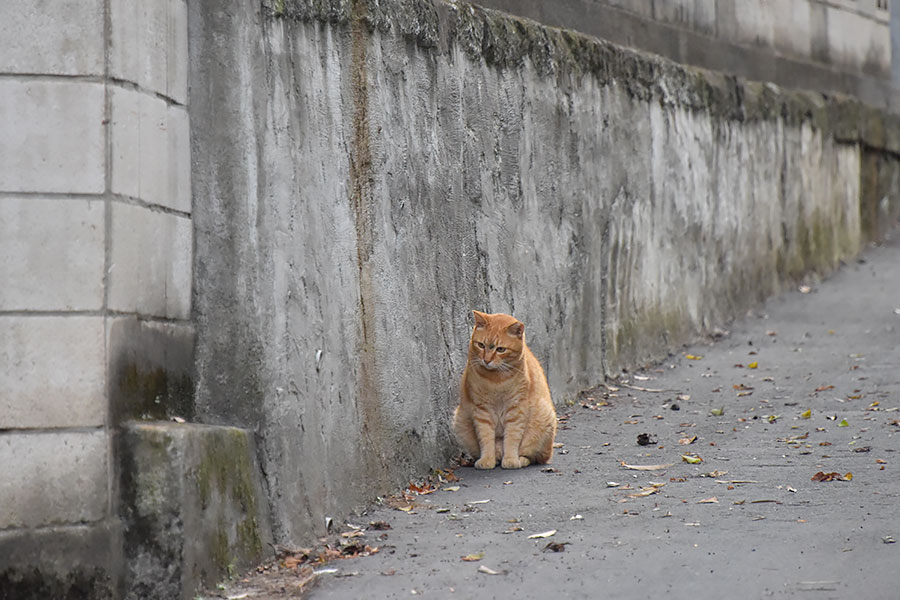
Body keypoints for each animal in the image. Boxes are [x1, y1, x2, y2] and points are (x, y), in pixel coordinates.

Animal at [450, 312, 556, 472]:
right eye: (481, 345)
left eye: (500, 349)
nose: (486, 360)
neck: (496, 381)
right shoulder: (482, 411)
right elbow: (485, 438)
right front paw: (487, 460)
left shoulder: (516, 410)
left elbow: (512, 438)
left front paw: (511, 460)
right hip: (460, 420)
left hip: (543, 421)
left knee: (535, 457)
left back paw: (519, 459)